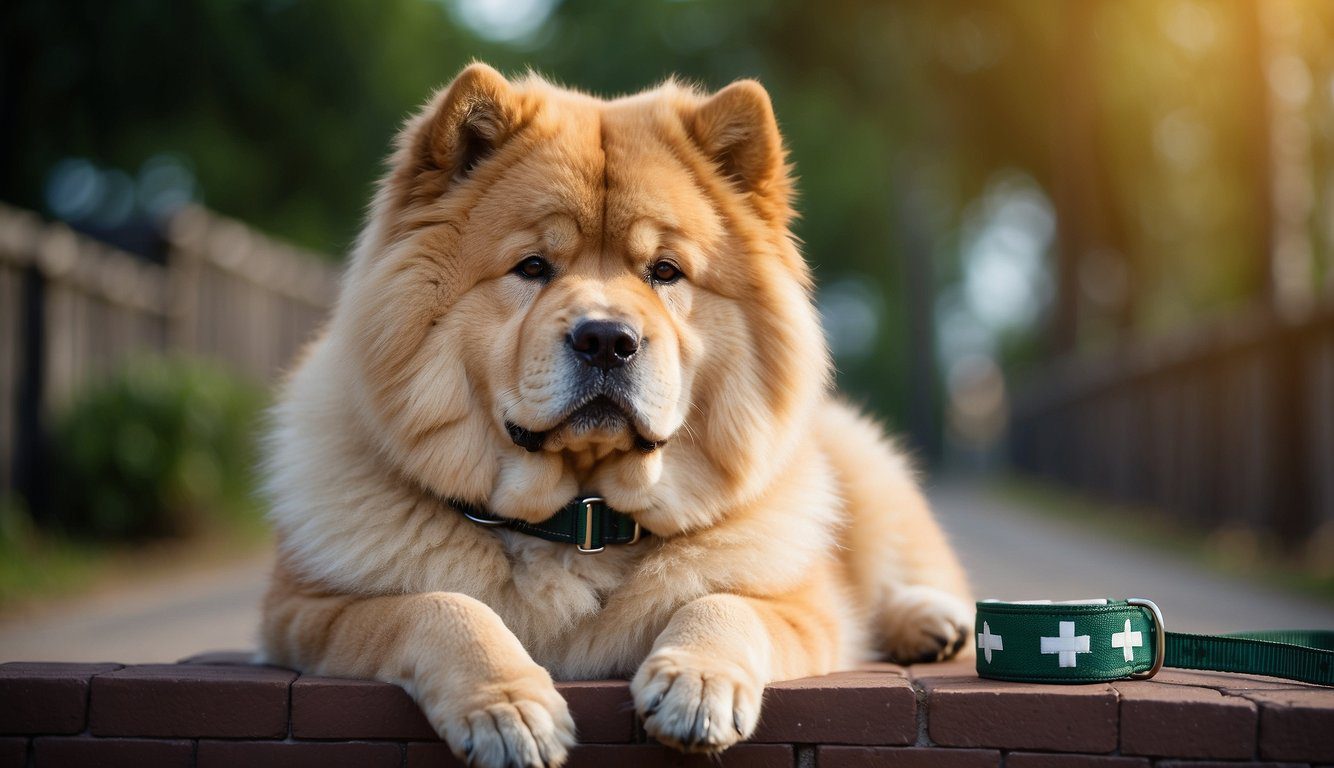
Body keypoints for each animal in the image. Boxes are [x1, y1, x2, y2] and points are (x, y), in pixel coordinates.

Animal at [257, 63, 971, 762]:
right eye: (533, 267)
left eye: (665, 271)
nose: (606, 338)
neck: (581, 517)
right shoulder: (306, 610)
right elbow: (437, 607)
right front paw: (510, 707)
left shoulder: (804, 607)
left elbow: (728, 603)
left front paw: (696, 683)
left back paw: (933, 623)